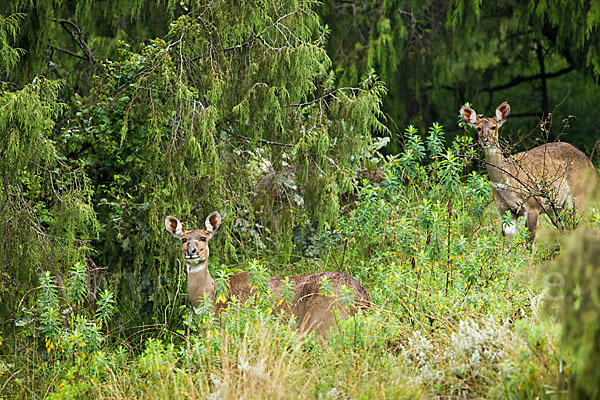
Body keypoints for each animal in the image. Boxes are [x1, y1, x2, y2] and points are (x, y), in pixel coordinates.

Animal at [165, 212, 370, 338]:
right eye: (183, 239)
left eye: (203, 238)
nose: (191, 251)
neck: (214, 298)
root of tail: (362, 296)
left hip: (325, 323)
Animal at [460, 101, 596, 242]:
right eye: (478, 128)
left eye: (493, 127)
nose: (485, 140)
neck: (507, 182)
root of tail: (591, 166)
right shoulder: (504, 210)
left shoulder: (533, 205)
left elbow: (529, 240)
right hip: (559, 207)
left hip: (580, 195)